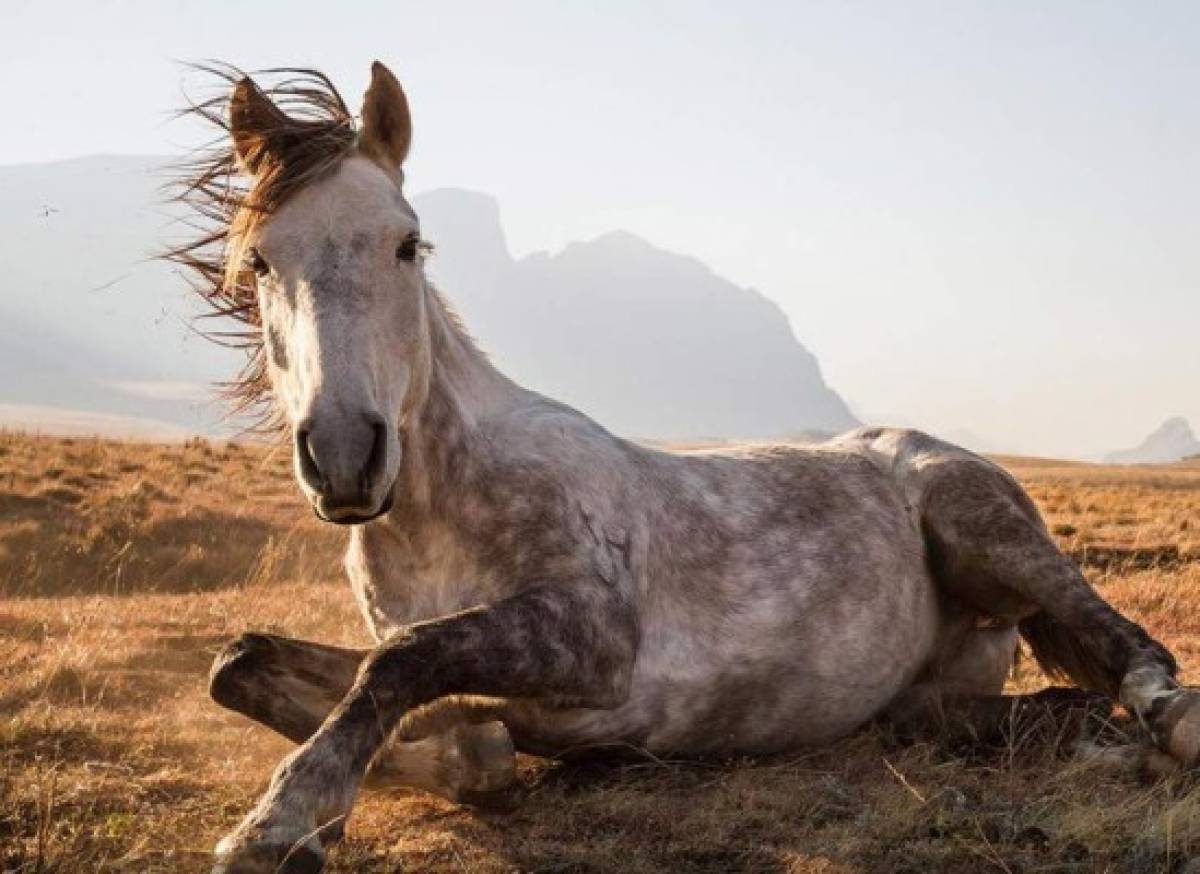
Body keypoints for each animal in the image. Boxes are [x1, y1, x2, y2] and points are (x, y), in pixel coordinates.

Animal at [171, 63, 1200, 874]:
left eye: (406, 243)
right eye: (259, 261)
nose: (346, 454)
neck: (441, 508)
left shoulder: (593, 637)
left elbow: (401, 659)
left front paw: (280, 820)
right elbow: (245, 663)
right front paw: (461, 757)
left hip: (986, 527)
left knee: (1133, 652)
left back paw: (1166, 723)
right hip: (920, 695)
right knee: (1001, 712)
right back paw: (1074, 734)